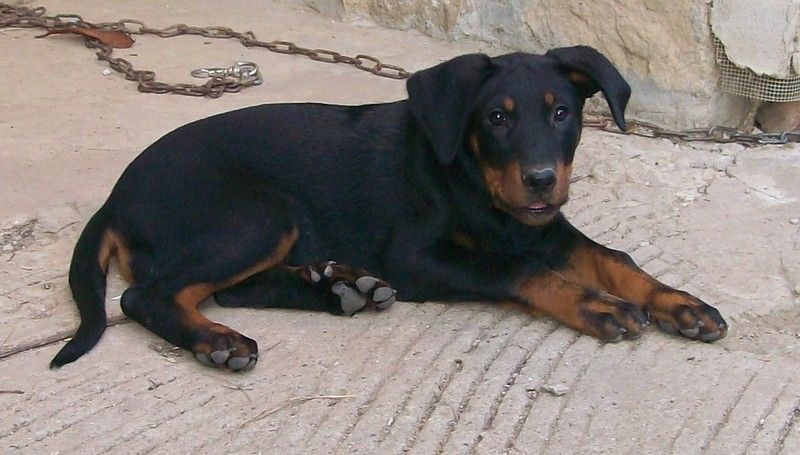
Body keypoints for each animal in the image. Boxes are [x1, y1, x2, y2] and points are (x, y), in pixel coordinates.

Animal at [51, 46, 727, 371]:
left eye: (562, 112)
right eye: (496, 118)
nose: (540, 180)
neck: (473, 182)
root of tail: (115, 197)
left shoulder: (544, 227)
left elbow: (613, 258)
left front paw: (679, 303)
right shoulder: (418, 258)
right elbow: (521, 271)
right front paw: (595, 305)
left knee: (235, 289)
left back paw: (341, 287)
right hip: (261, 214)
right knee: (149, 296)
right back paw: (219, 341)